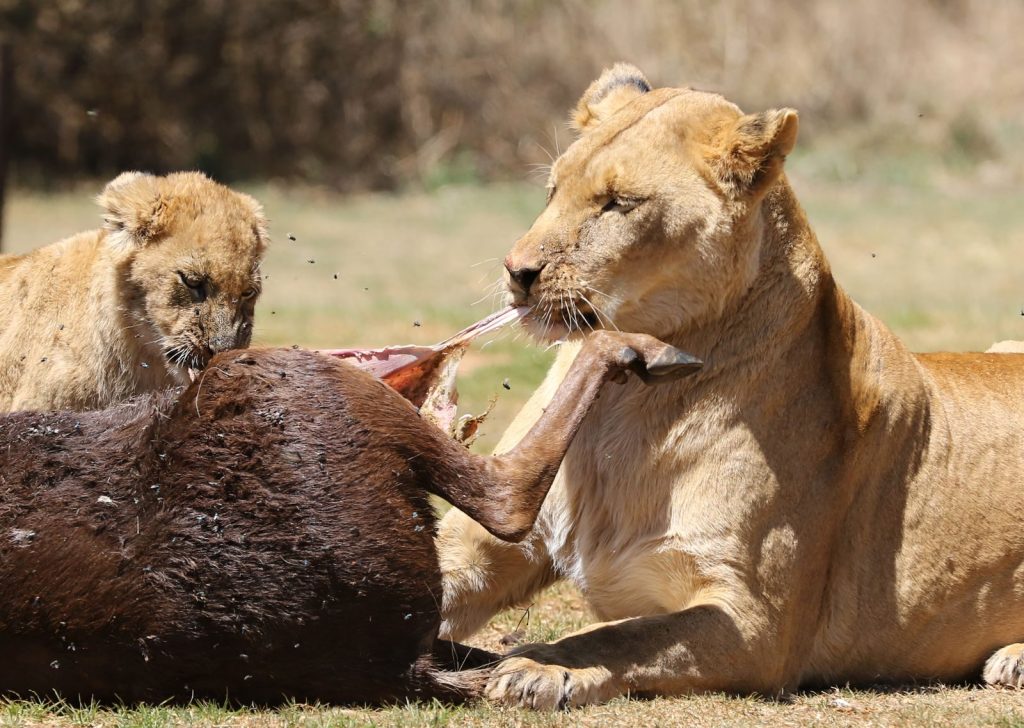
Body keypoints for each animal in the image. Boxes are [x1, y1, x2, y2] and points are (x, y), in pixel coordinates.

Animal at [436, 63, 1024, 708]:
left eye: (618, 204)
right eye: (551, 191)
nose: (517, 272)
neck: (626, 397)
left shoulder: (757, 622)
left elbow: (624, 636)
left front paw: (537, 665)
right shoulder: (487, 542)